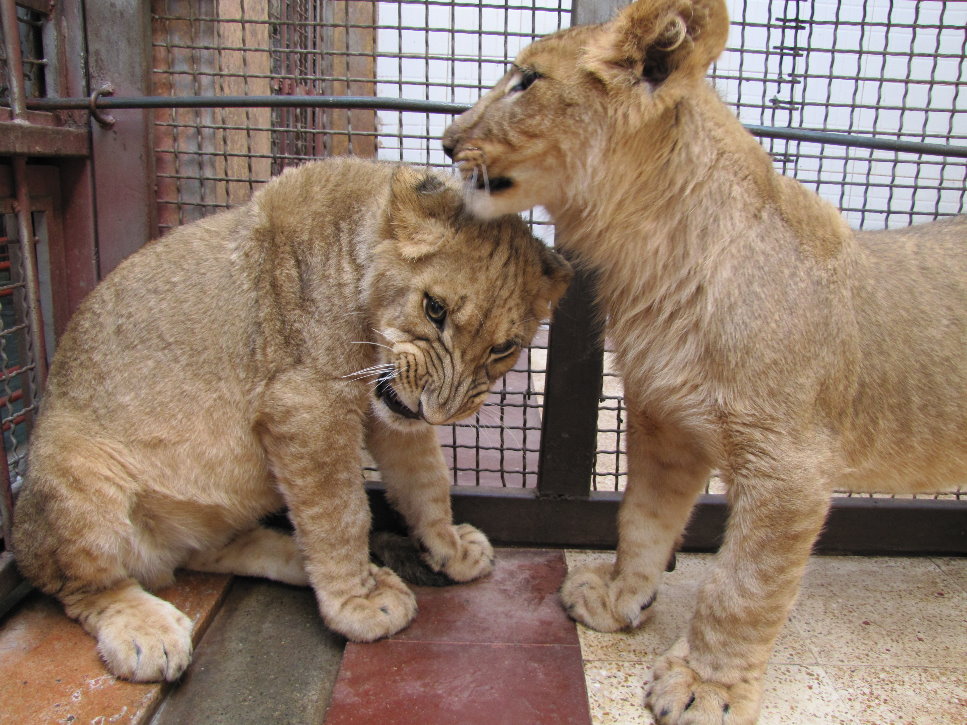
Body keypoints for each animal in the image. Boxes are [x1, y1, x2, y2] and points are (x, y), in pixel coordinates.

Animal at [11, 156, 572, 683]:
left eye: (503, 348)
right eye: (434, 308)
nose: (439, 409)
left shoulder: (391, 410)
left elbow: (426, 481)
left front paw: (449, 547)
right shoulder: (307, 406)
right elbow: (341, 513)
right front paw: (357, 604)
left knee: (208, 553)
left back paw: (316, 561)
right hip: (73, 474)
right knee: (84, 586)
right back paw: (145, 631)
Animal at [442, 1, 967, 722]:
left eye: (526, 81)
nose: (445, 140)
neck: (652, 258)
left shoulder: (790, 469)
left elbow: (741, 589)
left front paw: (706, 685)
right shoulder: (664, 421)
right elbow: (641, 520)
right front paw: (619, 598)